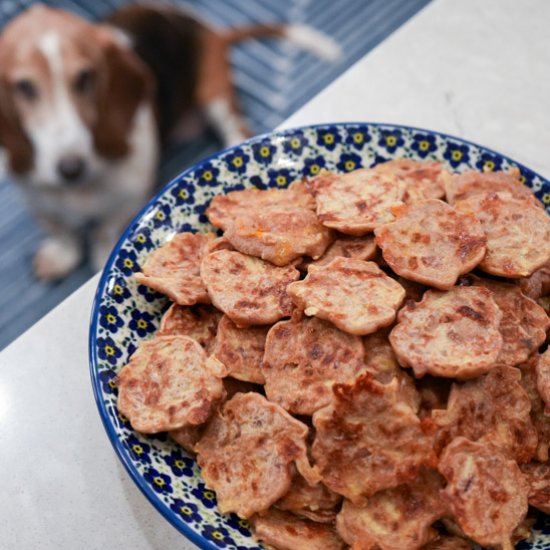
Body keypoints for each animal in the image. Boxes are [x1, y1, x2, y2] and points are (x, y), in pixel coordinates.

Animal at [0, 3, 340, 280]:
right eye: (24, 87)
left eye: (85, 78)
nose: (70, 167)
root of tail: (208, 28)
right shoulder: (36, 197)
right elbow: (60, 229)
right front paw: (60, 255)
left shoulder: (130, 194)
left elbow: (107, 229)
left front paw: (98, 254)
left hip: (214, 94)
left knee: (234, 125)